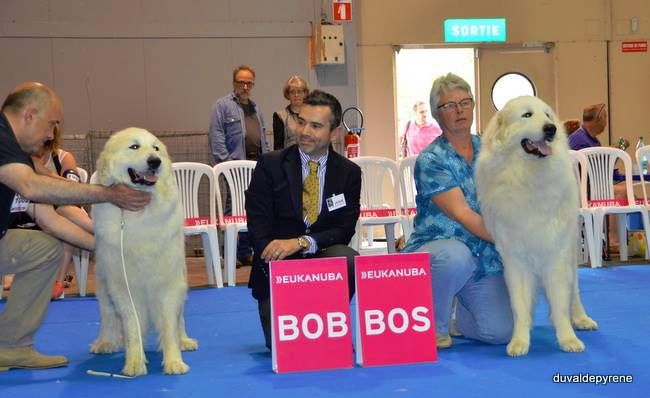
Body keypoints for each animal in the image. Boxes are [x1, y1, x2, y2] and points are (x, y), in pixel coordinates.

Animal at [88, 128, 196, 376]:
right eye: (134, 146)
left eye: (156, 148)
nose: (155, 161)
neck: (141, 213)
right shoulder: (123, 286)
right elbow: (131, 326)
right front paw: (135, 363)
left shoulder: (168, 283)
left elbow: (169, 324)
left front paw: (174, 362)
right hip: (104, 284)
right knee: (107, 315)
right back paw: (104, 342)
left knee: (180, 317)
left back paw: (184, 341)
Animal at [474, 97, 596, 358]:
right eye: (527, 115)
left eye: (548, 115)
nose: (551, 129)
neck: (528, 178)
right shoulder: (515, 261)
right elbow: (519, 306)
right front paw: (519, 340)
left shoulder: (556, 254)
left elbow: (560, 304)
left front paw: (568, 338)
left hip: (572, 251)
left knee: (574, 292)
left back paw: (581, 319)